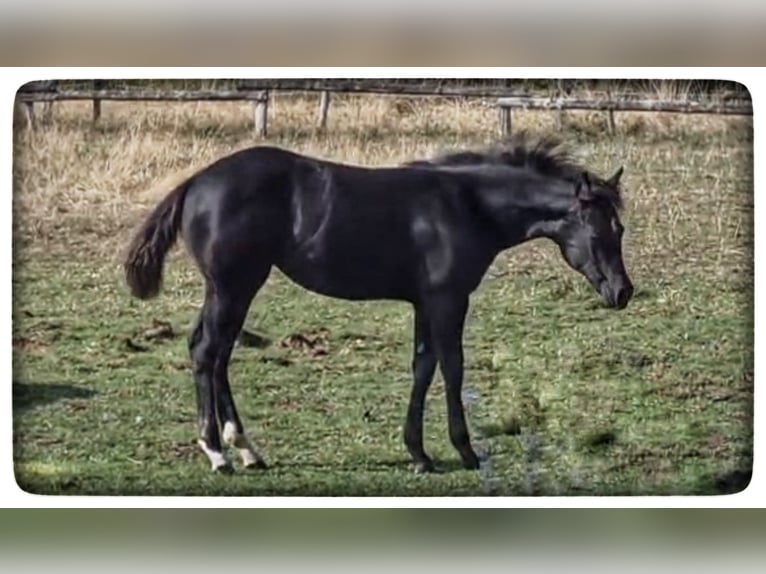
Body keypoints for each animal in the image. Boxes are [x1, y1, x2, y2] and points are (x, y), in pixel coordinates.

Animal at [123, 134, 633, 474]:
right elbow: (452, 367)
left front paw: (419, 453)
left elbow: (423, 366)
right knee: (207, 351)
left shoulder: (426, 302)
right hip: (232, 285)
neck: (466, 205)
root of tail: (195, 183)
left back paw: (246, 449)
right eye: (597, 232)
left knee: (218, 354)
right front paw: (464, 451)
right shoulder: (448, 299)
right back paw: (216, 452)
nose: (622, 292)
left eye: (621, 229)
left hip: (236, 287)